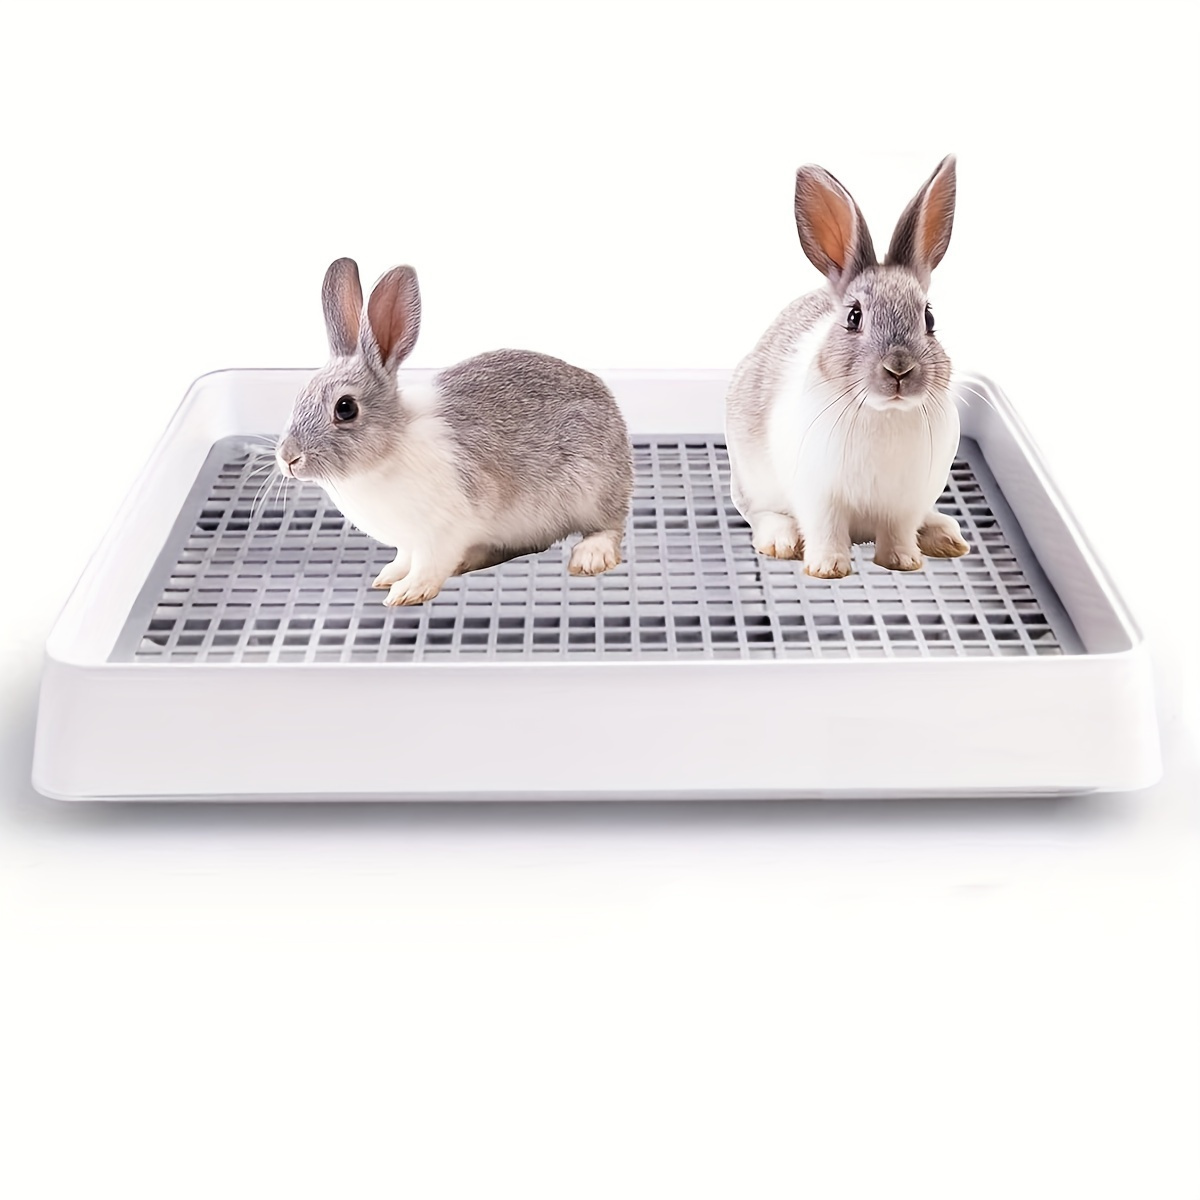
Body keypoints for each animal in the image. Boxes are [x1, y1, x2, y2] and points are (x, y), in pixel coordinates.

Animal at [276, 258, 633, 605]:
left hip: (592, 491)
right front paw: (387, 576)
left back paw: (590, 557)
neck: (390, 448)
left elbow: (428, 565)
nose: (288, 458)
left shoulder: (441, 533)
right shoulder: (409, 543)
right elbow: (404, 559)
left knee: (609, 527)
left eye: (345, 408)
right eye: (300, 395)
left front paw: (408, 592)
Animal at [725, 155, 969, 579]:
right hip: (752, 480)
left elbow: (900, 532)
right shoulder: (819, 497)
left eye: (929, 318)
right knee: (761, 513)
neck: (884, 413)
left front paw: (904, 562)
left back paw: (945, 536)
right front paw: (827, 568)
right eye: (854, 317)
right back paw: (780, 540)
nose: (899, 369)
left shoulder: (905, 503)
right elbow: (825, 530)